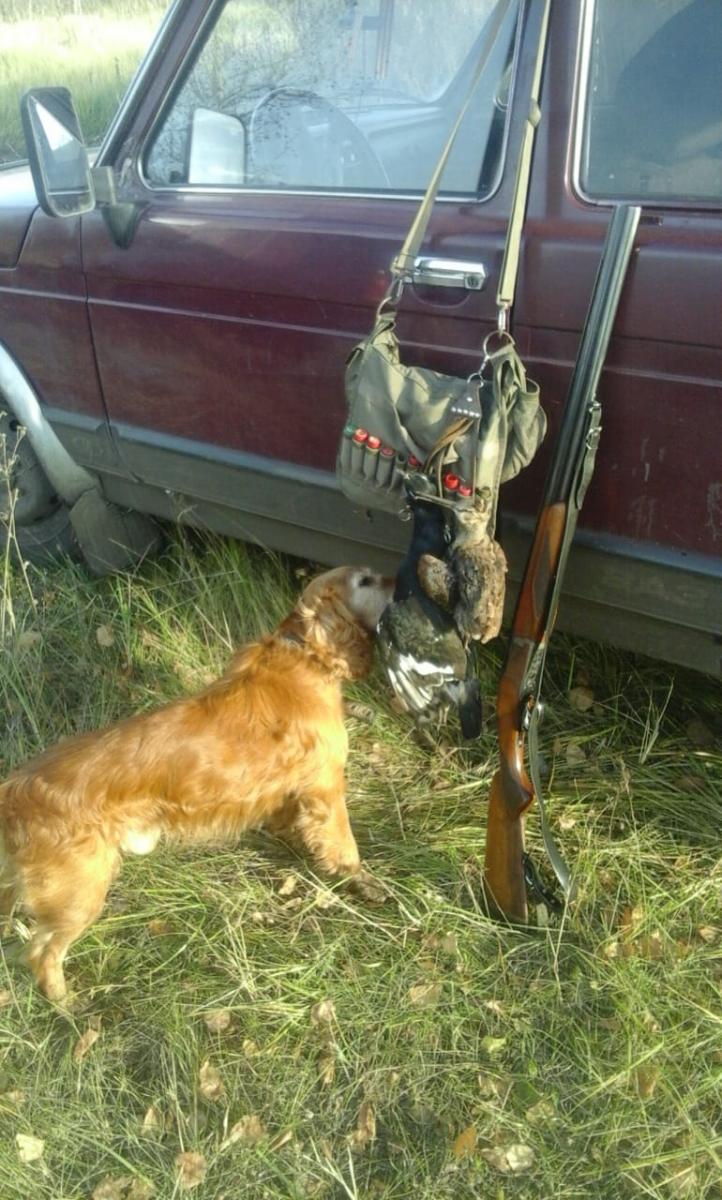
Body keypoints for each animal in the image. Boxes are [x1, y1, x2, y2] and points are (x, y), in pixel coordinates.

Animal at [0, 565, 393, 1000]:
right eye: (366, 581)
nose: (401, 578)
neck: (304, 654)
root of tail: (13, 790)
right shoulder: (326, 786)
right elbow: (344, 846)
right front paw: (363, 882)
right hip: (79, 890)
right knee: (43, 952)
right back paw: (65, 1002)